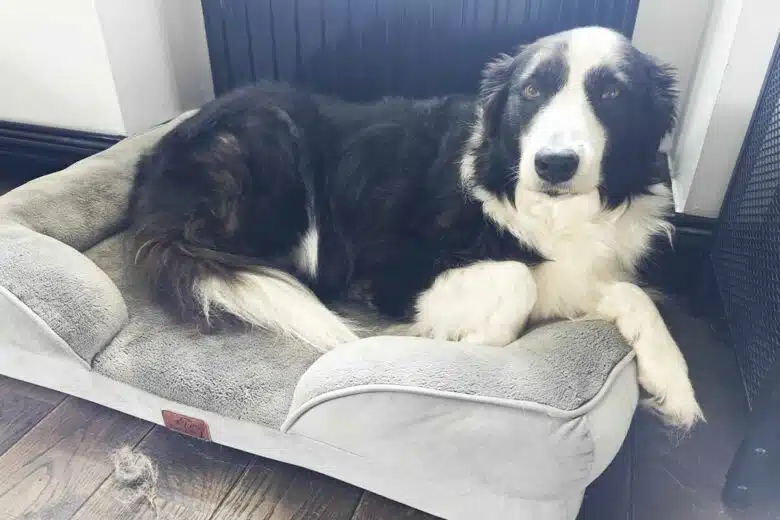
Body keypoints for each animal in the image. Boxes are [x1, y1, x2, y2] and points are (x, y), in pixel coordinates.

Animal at [128, 26, 700, 428]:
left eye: (612, 95)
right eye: (533, 90)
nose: (554, 164)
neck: (546, 210)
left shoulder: (581, 270)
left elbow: (632, 295)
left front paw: (673, 382)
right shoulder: (391, 275)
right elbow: (516, 278)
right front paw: (465, 341)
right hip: (278, 137)